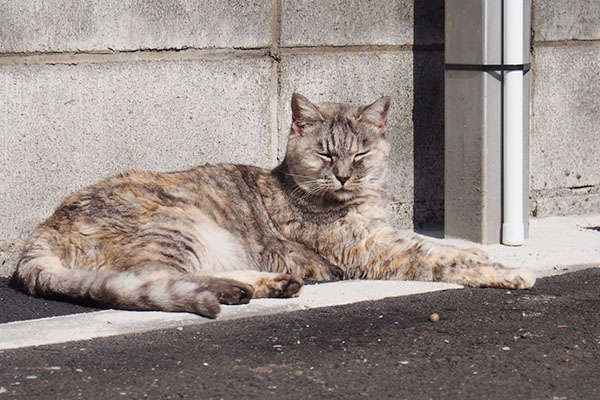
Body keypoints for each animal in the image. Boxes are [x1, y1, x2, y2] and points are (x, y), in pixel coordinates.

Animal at [10, 92, 536, 318]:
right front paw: (509, 271)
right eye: (325, 153)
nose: (343, 174)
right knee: (157, 279)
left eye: (360, 154)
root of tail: (42, 232)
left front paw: (485, 253)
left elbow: (445, 247)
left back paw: (267, 284)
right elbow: (443, 258)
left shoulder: (386, 235)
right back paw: (240, 290)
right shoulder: (378, 250)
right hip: (179, 226)